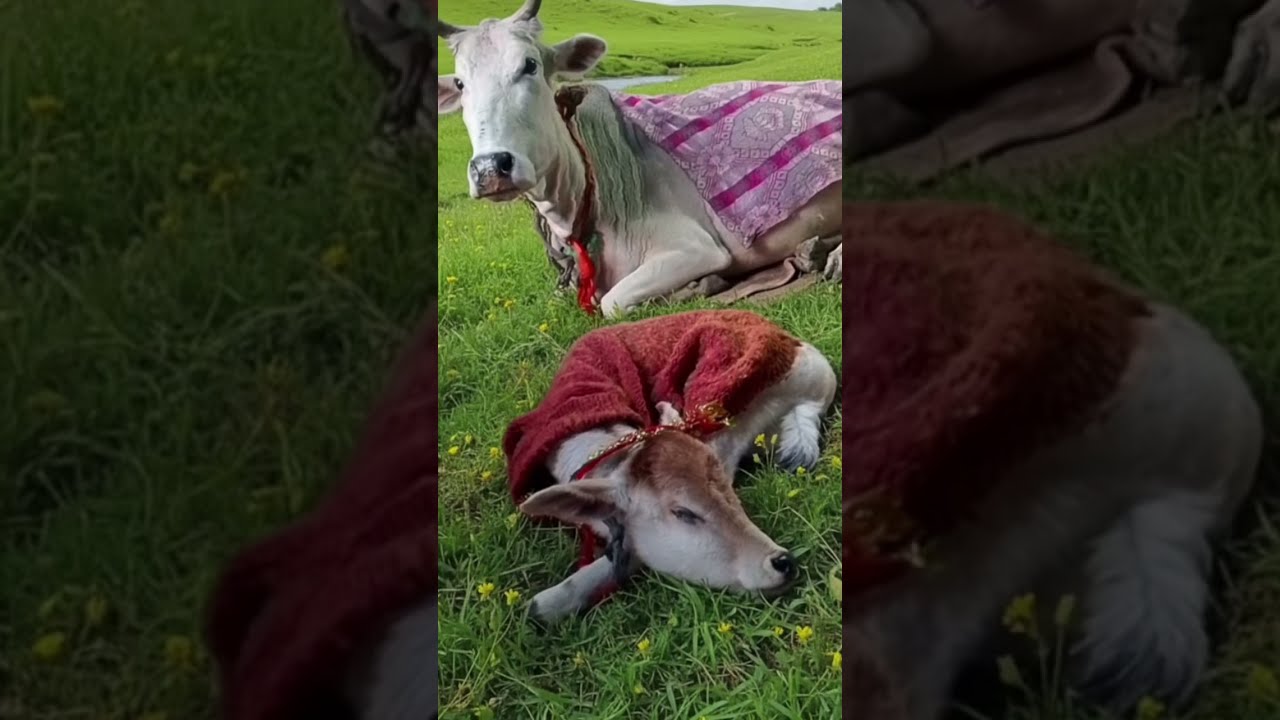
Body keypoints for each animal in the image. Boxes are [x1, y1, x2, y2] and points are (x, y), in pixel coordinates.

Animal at [435, 0, 842, 318]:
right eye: (460, 83)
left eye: (530, 65)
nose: (490, 168)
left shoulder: (696, 248)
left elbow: (613, 304)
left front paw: (698, 286)